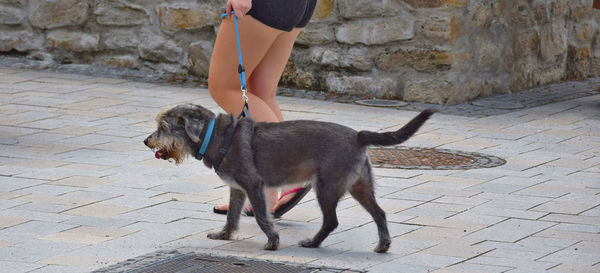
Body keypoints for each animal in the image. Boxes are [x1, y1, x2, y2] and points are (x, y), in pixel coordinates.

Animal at [145, 103, 436, 252]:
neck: (214, 135)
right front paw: (224, 235)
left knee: (332, 220)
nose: (146, 140)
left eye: (163, 127)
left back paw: (313, 243)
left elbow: (262, 217)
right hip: (359, 187)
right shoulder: (237, 190)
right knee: (380, 213)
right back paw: (383, 245)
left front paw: (272, 241)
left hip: (327, 188)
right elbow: (232, 216)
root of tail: (357, 135)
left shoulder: (254, 185)